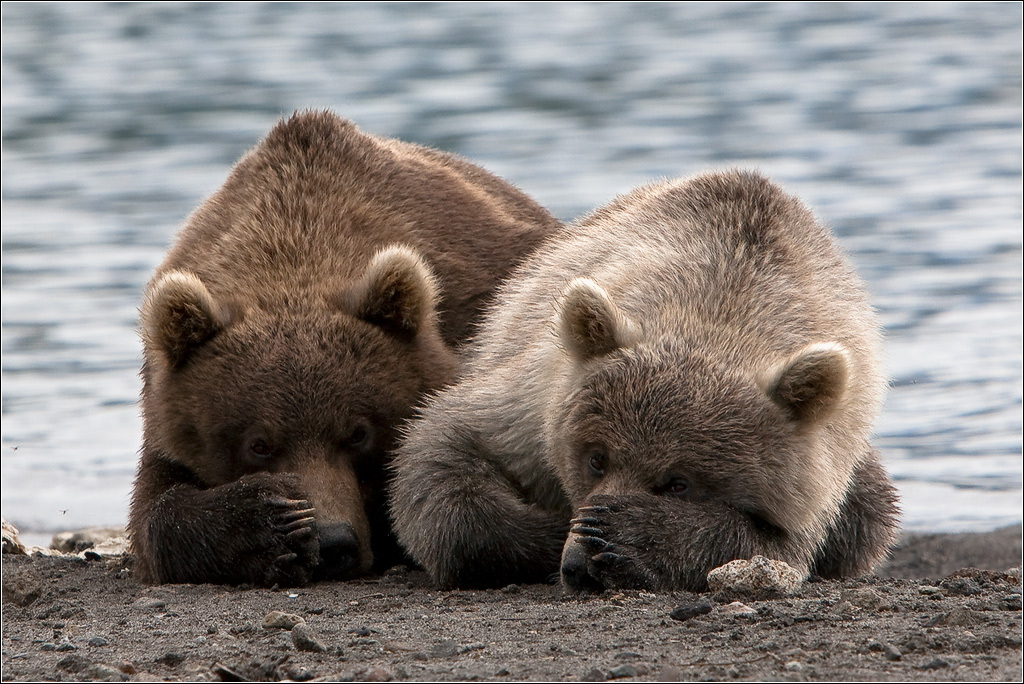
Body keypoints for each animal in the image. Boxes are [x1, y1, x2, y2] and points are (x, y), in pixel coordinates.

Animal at [130, 109, 561, 585]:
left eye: (358, 433)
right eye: (259, 443)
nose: (333, 543)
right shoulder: (164, 409)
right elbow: (157, 507)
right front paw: (272, 523)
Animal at [387, 171, 901, 593]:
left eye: (678, 482)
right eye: (595, 458)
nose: (580, 566)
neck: (720, 306)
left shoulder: (824, 471)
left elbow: (783, 543)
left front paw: (628, 538)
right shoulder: (535, 402)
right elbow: (443, 453)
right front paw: (552, 531)